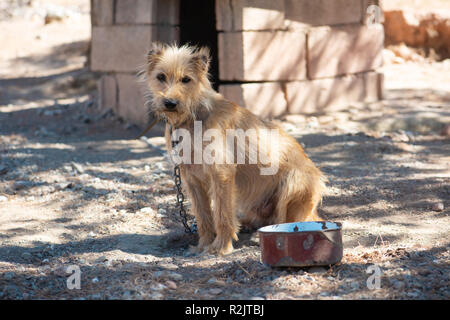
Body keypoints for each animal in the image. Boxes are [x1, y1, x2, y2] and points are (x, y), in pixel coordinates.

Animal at [142, 43, 326, 256]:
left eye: (186, 79)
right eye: (161, 77)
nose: (170, 103)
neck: (193, 117)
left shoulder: (221, 174)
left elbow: (222, 214)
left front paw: (221, 246)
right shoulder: (192, 179)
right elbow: (203, 217)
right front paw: (203, 244)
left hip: (294, 182)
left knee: (291, 220)